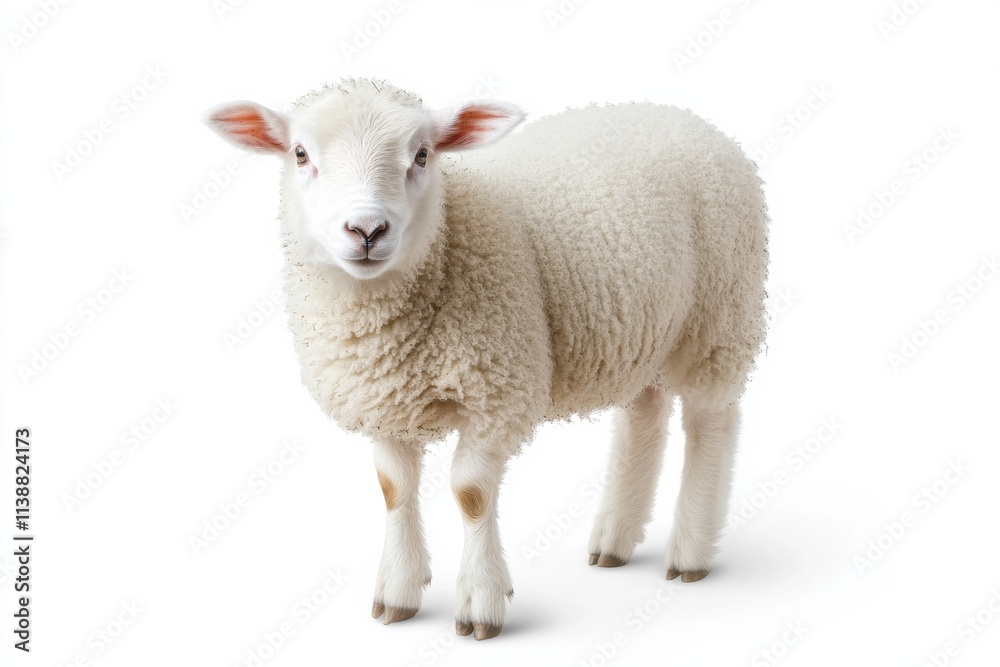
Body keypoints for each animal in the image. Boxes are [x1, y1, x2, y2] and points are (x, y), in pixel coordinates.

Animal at [204, 77, 768, 641]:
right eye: (300, 154)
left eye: (422, 154)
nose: (366, 230)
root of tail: (681, 116)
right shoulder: (385, 402)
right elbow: (393, 488)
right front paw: (397, 594)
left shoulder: (496, 393)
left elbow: (471, 493)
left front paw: (481, 603)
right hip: (644, 330)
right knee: (645, 415)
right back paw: (615, 539)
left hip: (719, 317)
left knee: (710, 423)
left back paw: (691, 551)